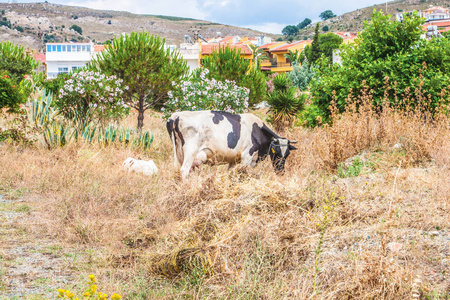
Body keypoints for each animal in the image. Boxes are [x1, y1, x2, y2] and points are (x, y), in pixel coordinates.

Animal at [167, 110, 298, 180]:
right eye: (276, 153)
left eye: (287, 154)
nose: (281, 172)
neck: (257, 130)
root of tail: (177, 115)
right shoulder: (246, 156)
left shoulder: (233, 160)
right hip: (190, 151)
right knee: (184, 170)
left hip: (180, 154)